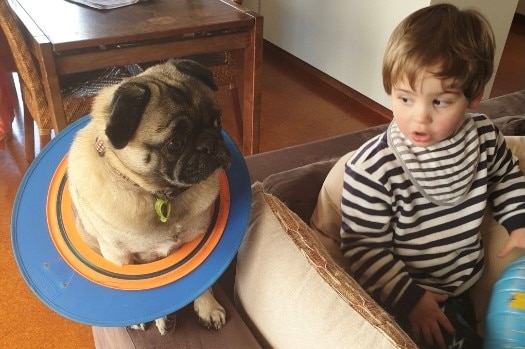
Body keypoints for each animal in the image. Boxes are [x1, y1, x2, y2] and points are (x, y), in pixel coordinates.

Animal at [66, 59, 230, 334]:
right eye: (174, 144)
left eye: (217, 120)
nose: (210, 143)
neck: (161, 195)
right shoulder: (119, 257)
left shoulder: (196, 238)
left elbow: (203, 280)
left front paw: (207, 307)